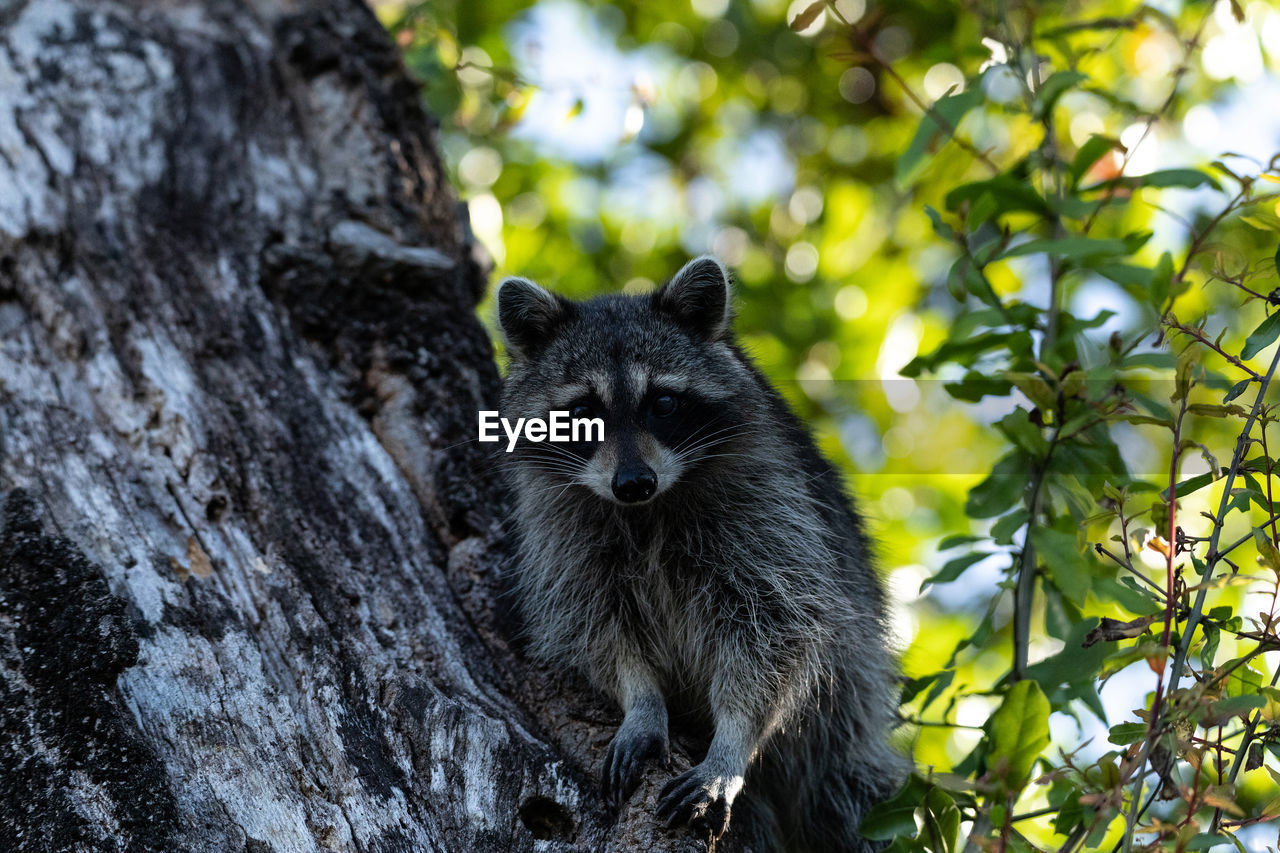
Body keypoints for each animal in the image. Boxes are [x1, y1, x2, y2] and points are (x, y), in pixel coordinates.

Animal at [494, 256, 906, 845]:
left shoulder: (770, 510)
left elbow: (776, 631)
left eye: (663, 403)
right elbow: (595, 624)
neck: (647, 511)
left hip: (843, 726)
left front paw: (731, 743)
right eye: (582, 413)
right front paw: (641, 701)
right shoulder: (564, 530)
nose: (633, 483)